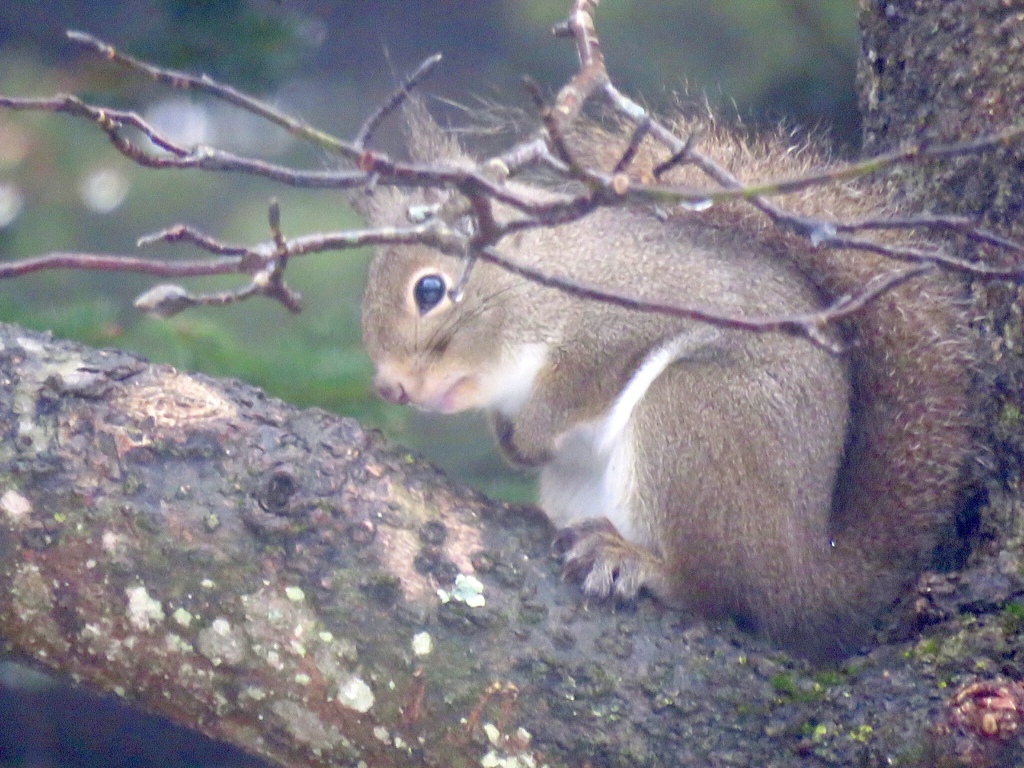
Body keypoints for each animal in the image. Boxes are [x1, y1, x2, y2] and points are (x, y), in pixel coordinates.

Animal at [358, 105, 974, 663]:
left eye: (430, 290)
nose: (388, 388)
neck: (538, 290)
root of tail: (809, 578)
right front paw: (511, 444)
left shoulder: (621, 321)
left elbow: (577, 383)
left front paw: (532, 436)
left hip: (693, 418)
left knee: (716, 592)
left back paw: (637, 562)